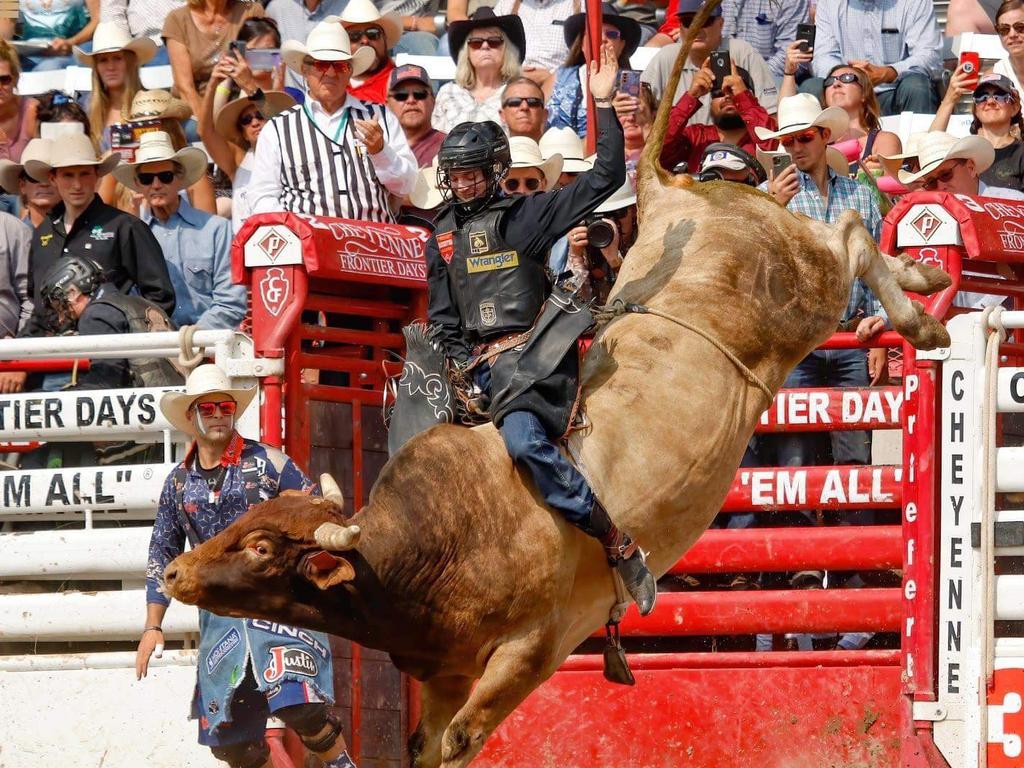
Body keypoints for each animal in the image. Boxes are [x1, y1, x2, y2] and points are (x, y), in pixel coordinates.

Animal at [161, 3, 950, 765]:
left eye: (263, 549)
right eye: (240, 523)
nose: (172, 575)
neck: (428, 546)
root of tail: (676, 193)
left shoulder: (533, 649)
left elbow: (462, 741)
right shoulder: (445, 674)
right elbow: (425, 748)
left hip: (809, 290)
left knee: (850, 232)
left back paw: (923, 314)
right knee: (854, 239)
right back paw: (923, 277)